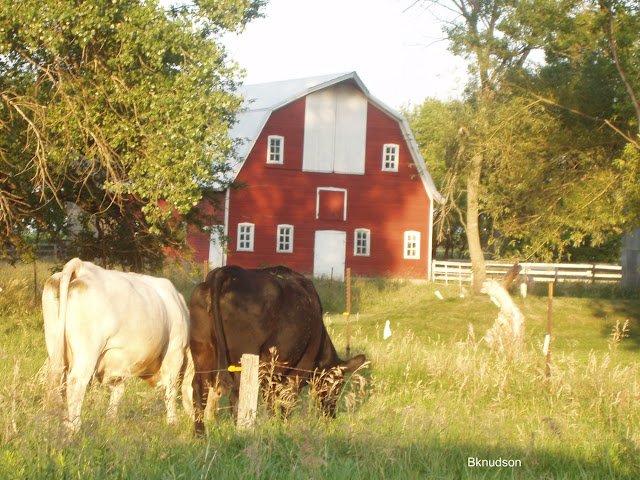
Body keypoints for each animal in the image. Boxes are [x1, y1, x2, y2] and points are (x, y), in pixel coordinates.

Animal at [43, 256, 190, 434]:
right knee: (75, 382)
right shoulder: (175, 351)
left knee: (56, 381)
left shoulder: (121, 362)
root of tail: (82, 266)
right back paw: (74, 426)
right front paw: (172, 421)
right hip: (87, 351)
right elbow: (170, 390)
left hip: (55, 346)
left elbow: (117, 391)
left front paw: (111, 420)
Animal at [189, 264, 364, 436]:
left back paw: (200, 435)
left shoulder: (271, 371)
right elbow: (288, 400)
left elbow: (270, 399)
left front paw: (272, 424)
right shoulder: (301, 366)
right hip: (243, 356)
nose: (331, 416)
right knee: (237, 394)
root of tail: (227, 271)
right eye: (338, 385)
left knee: (199, 388)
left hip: (202, 348)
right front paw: (283, 428)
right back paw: (242, 430)